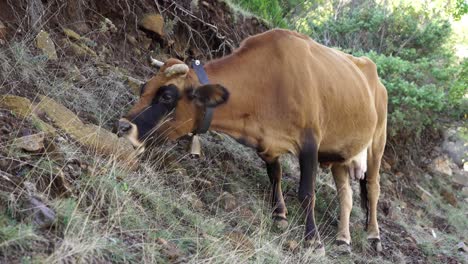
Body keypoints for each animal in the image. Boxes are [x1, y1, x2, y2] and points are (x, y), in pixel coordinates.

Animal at [118, 28, 388, 254]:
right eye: (143, 88)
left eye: (166, 96)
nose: (122, 127)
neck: (268, 83)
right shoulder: (267, 144)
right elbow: (275, 176)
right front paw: (279, 213)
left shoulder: (310, 141)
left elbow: (306, 193)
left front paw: (313, 240)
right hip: (342, 154)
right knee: (346, 195)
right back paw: (343, 238)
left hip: (377, 142)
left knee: (373, 188)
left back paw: (374, 235)